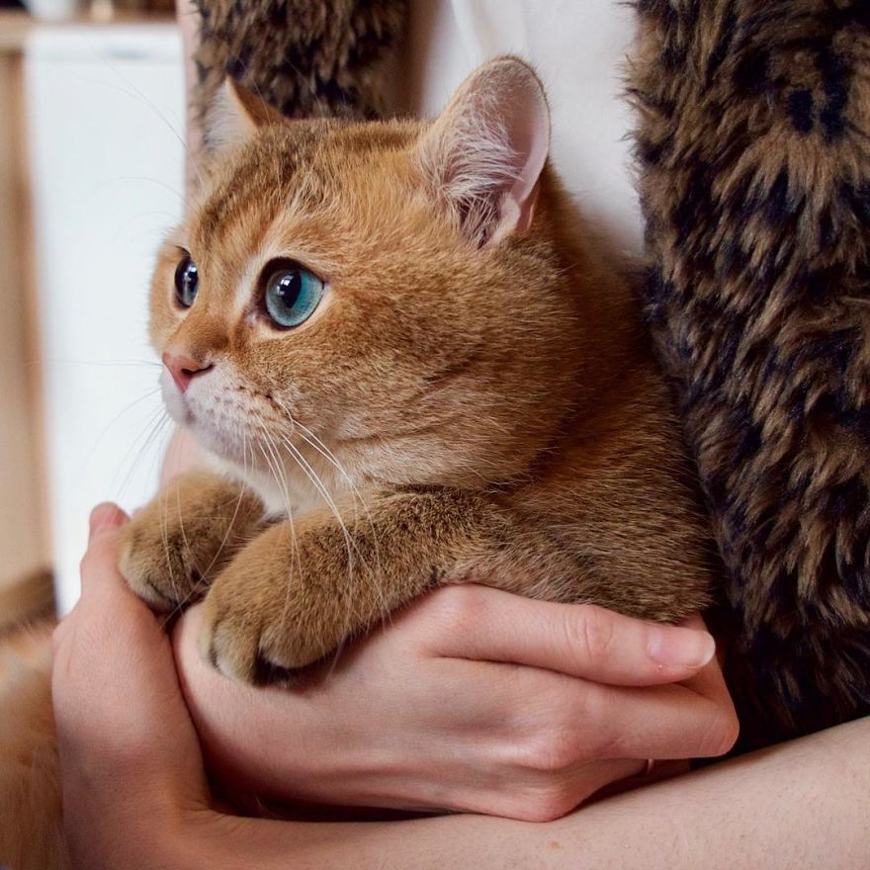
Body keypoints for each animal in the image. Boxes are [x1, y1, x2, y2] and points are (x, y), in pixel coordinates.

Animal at [116, 58, 716, 688]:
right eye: (187, 278)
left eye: (288, 292)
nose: (176, 363)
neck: (573, 421)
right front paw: (188, 511)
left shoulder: (634, 590)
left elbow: (446, 507)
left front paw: (282, 571)